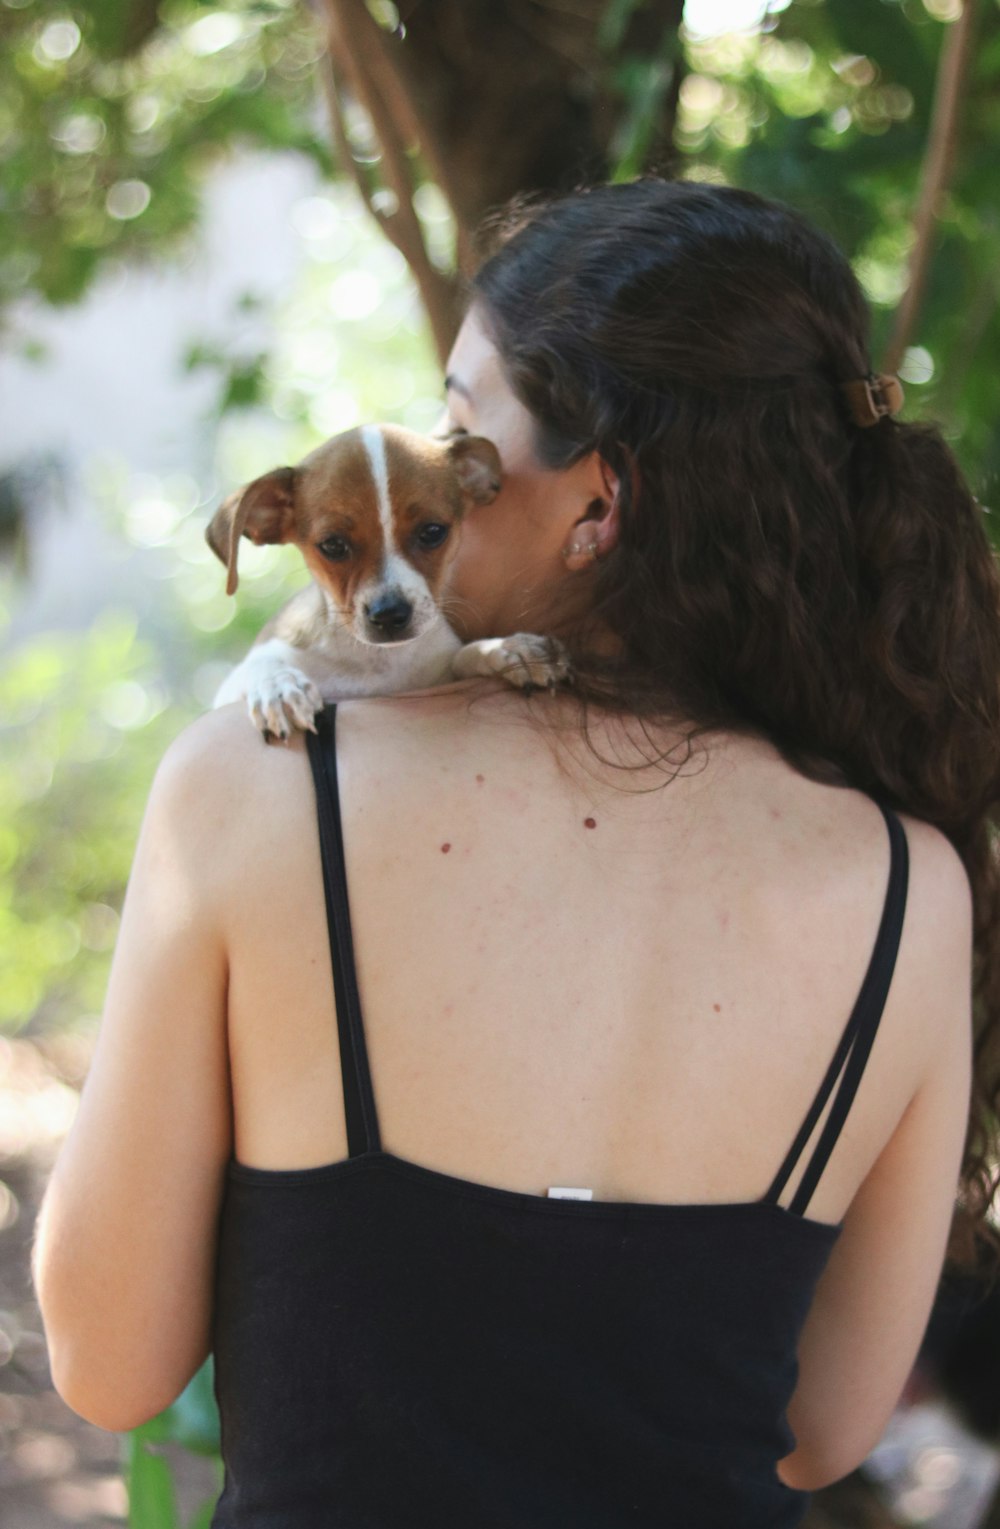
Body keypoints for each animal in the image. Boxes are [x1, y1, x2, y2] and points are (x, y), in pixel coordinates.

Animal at [206, 422, 571, 743]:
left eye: (432, 532)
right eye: (333, 545)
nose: (389, 614)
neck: (378, 664)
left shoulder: (439, 673)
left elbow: (463, 655)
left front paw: (507, 649)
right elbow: (259, 664)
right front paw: (278, 687)